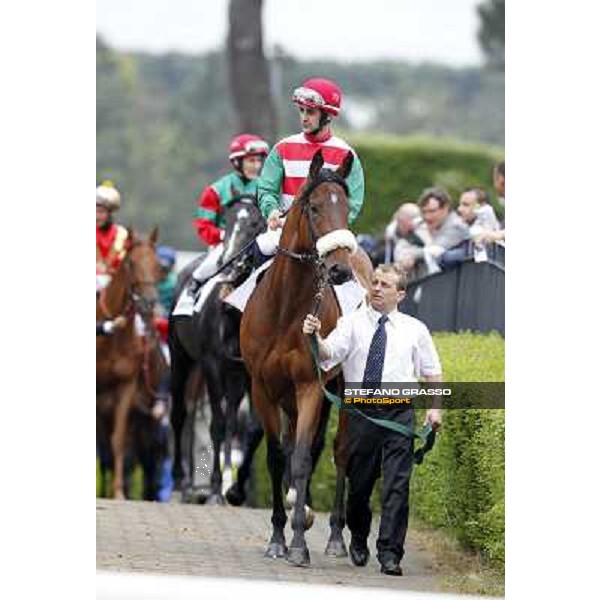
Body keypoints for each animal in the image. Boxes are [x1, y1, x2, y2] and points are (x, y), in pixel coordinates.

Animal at [168, 195, 264, 504]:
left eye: (255, 223)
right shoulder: (211, 364)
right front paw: (213, 489)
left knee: (231, 418)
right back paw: (180, 483)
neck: (233, 312)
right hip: (181, 359)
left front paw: (232, 489)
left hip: (232, 376)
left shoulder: (248, 372)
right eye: (227, 221)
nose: (228, 261)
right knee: (180, 415)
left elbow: (249, 428)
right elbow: (217, 425)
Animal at [240, 151, 372, 568]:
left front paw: (298, 542)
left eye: (345, 207)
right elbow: (276, 457)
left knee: (339, 452)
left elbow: (299, 458)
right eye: (314, 207)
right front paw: (278, 538)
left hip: (343, 389)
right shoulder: (262, 388)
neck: (285, 310)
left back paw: (335, 537)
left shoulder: (311, 385)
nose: (339, 269)